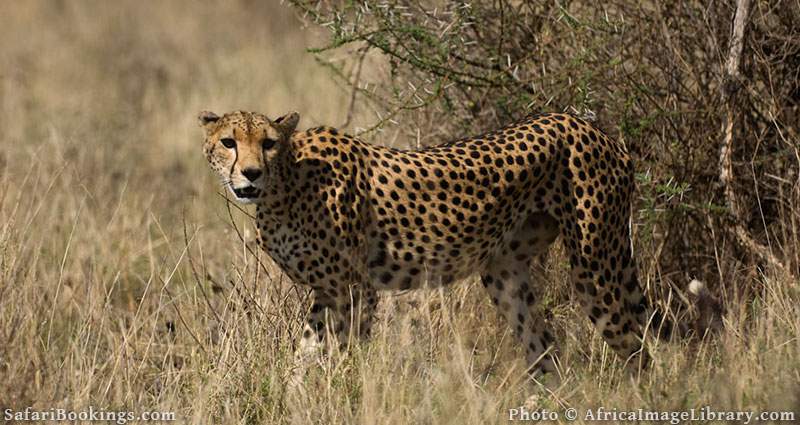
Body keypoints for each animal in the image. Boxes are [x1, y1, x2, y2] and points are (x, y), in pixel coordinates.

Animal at [202, 108, 688, 374]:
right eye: (228, 142)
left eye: (268, 143)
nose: (251, 173)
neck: (285, 183)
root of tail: (591, 126)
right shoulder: (328, 291)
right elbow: (304, 355)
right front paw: (297, 393)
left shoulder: (355, 290)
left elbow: (346, 353)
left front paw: (343, 390)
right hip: (504, 274)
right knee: (544, 347)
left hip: (596, 267)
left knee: (638, 353)